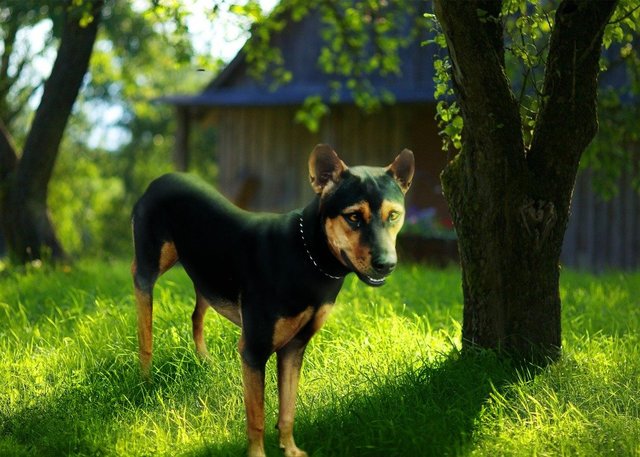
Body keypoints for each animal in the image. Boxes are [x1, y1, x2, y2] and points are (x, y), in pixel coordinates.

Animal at [130, 143, 416, 456]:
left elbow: (288, 409)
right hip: (154, 262)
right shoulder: (254, 350)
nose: (386, 265)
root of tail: (160, 179)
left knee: (197, 313)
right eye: (353, 216)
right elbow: (257, 418)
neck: (308, 255)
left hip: (206, 274)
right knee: (142, 300)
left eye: (393, 215)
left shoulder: (294, 347)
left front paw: (290, 449)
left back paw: (204, 359)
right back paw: (145, 376)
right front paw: (258, 453)